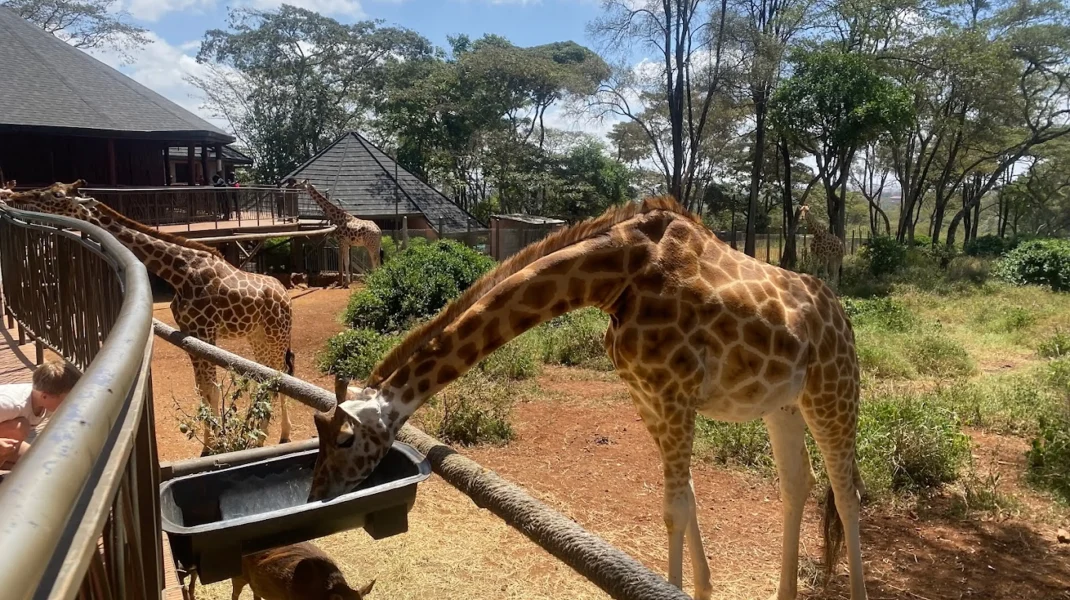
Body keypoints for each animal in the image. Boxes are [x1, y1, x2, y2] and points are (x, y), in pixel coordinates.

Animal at [7, 179, 297, 451]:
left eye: (57, 194)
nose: (12, 194)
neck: (180, 273)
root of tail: (285, 294)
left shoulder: (205, 331)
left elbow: (211, 390)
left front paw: (217, 446)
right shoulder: (191, 333)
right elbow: (203, 390)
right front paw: (209, 446)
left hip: (276, 335)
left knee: (281, 375)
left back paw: (278, 434)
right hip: (257, 336)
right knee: (268, 377)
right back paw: (263, 434)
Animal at [310, 196, 868, 598]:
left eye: (343, 440)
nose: (317, 493)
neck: (617, 278)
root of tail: (841, 317)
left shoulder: (674, 395)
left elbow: (674, 510)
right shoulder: (649, 398)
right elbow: (686, 501)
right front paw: (703, 587)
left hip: (834, 390)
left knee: (846, 494)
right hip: (782, 405)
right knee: (798, 483)